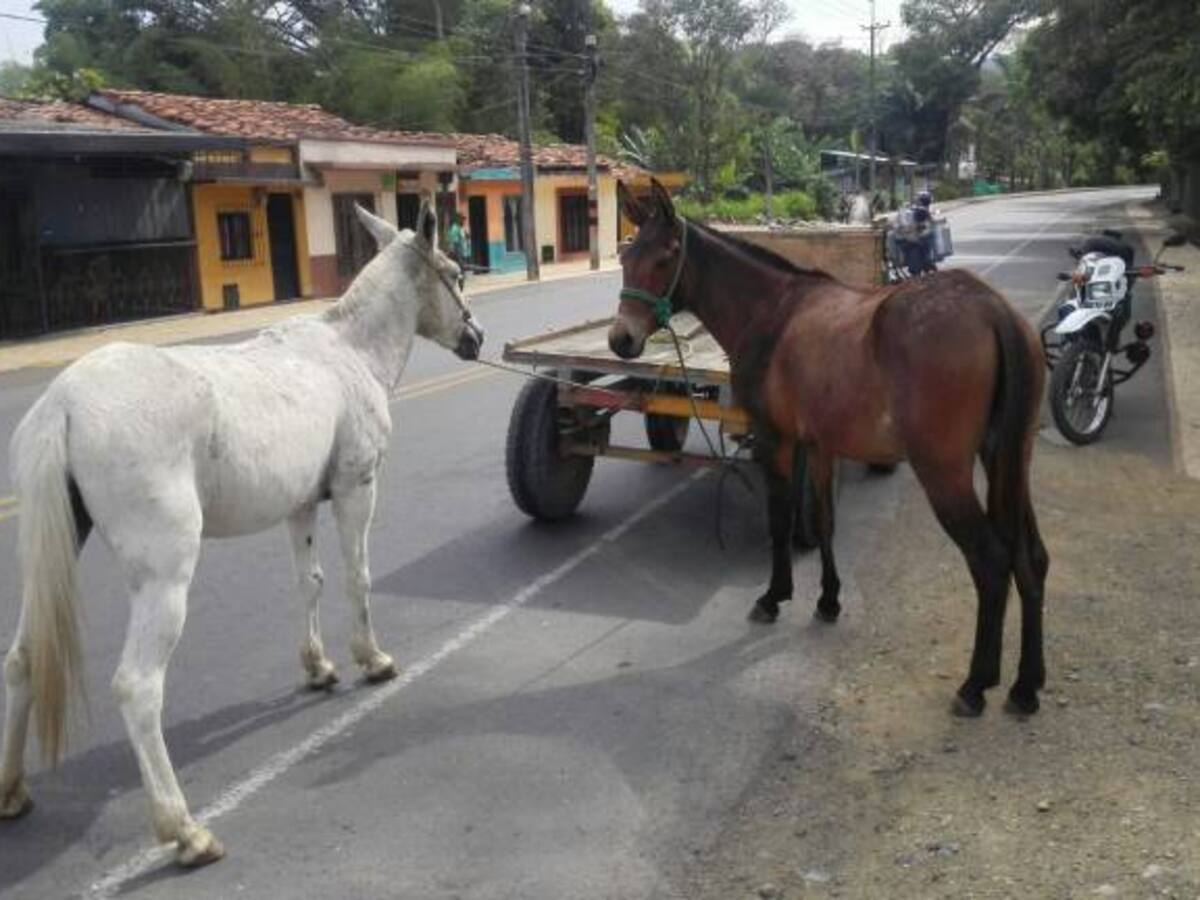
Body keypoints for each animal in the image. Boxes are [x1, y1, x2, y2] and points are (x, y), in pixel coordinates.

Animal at [0, 199, 483, 866]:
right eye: (456, 274)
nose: (475, 339)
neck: (349, 351)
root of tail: (63, 403)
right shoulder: (356, 488)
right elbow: (356, 576)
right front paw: (371, 658)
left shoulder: (301, 503)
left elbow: (310, 582)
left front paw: (318, 666)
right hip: (165, 574)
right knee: (138, 687)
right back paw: (183, 829)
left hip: (59, 545)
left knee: (21, 659)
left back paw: (11, 790)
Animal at [610, 179, 1048, 719]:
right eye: (627, 256)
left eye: (665, 257)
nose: (621, 339)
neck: (772, 311)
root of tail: (994, 311)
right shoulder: (819, 444)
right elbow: (823, 522)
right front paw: (828, 600)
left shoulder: (776, 439)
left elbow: (780, 522)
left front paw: (775, 596)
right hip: (1010, 458)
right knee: (1030, 558)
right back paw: (1026, 686)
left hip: (944, 472)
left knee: (990, 561)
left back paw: (976, 683)